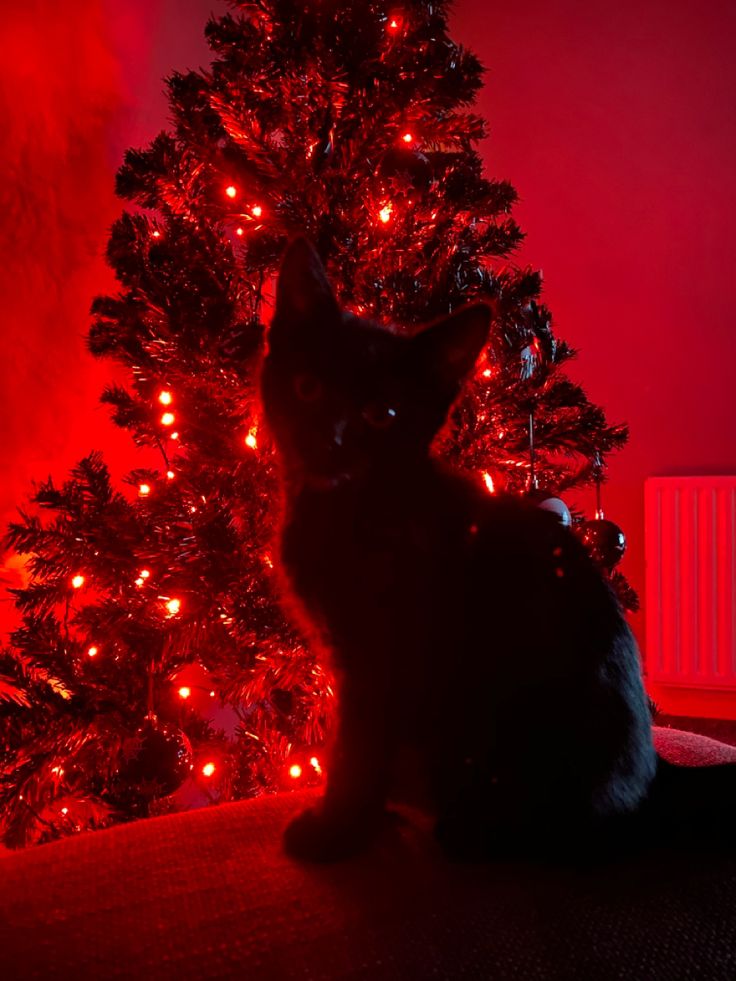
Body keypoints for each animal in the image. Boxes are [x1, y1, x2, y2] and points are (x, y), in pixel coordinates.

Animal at [262, 241, 732, 860]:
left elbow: (355, 747)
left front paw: (336, 829)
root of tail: (656, 777)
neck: (354, 504)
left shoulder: (380, 657)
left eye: (381, 414)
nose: (329, 438)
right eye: (308, 387)